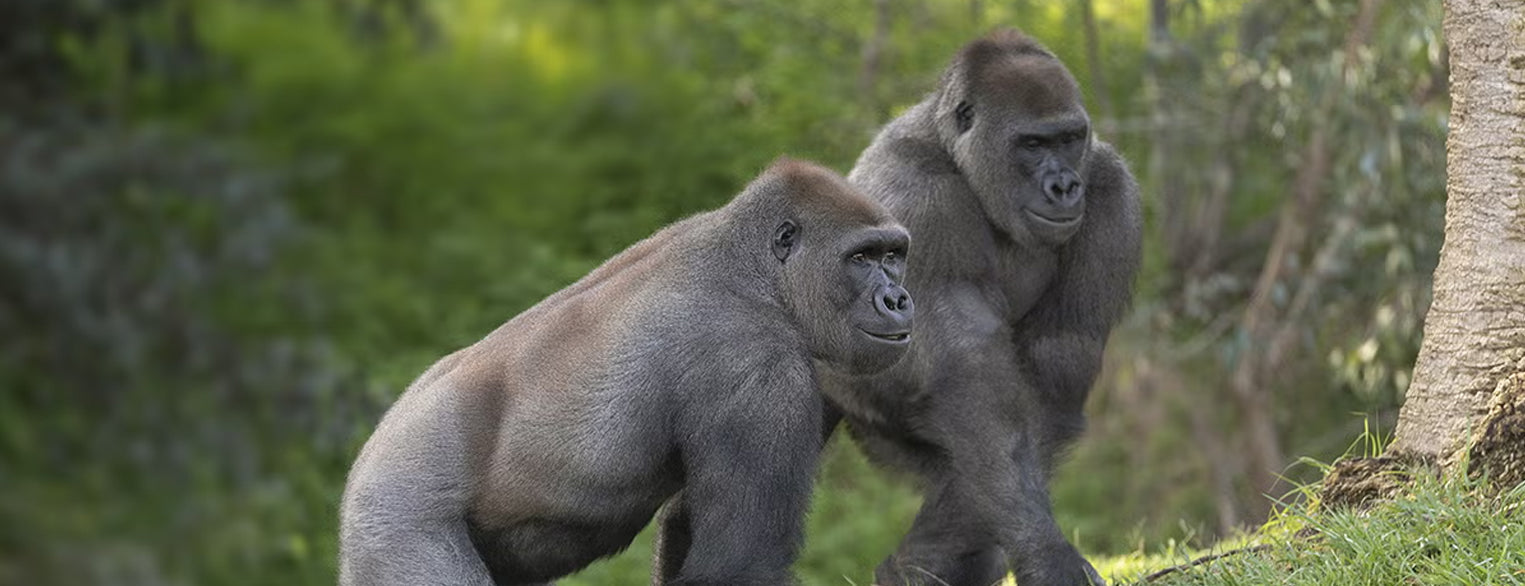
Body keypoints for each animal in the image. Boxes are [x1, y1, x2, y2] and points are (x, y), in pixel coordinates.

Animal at [338, 158, 915, 586]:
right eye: (861, 257)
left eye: (894, 255)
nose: (899, 299)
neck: (756, 272)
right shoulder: (755, 361)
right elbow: (739, 563)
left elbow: (688, 527)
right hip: (393, 516)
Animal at [655, 29, 1141, 586]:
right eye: (1033, 144)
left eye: (1069, 139)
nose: (1063, 186)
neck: (957, 155)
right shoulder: (922, 195)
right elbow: (972, 377)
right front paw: (1045, 554)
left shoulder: (1111, 190)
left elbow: (1056, 368)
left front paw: (934, 559)